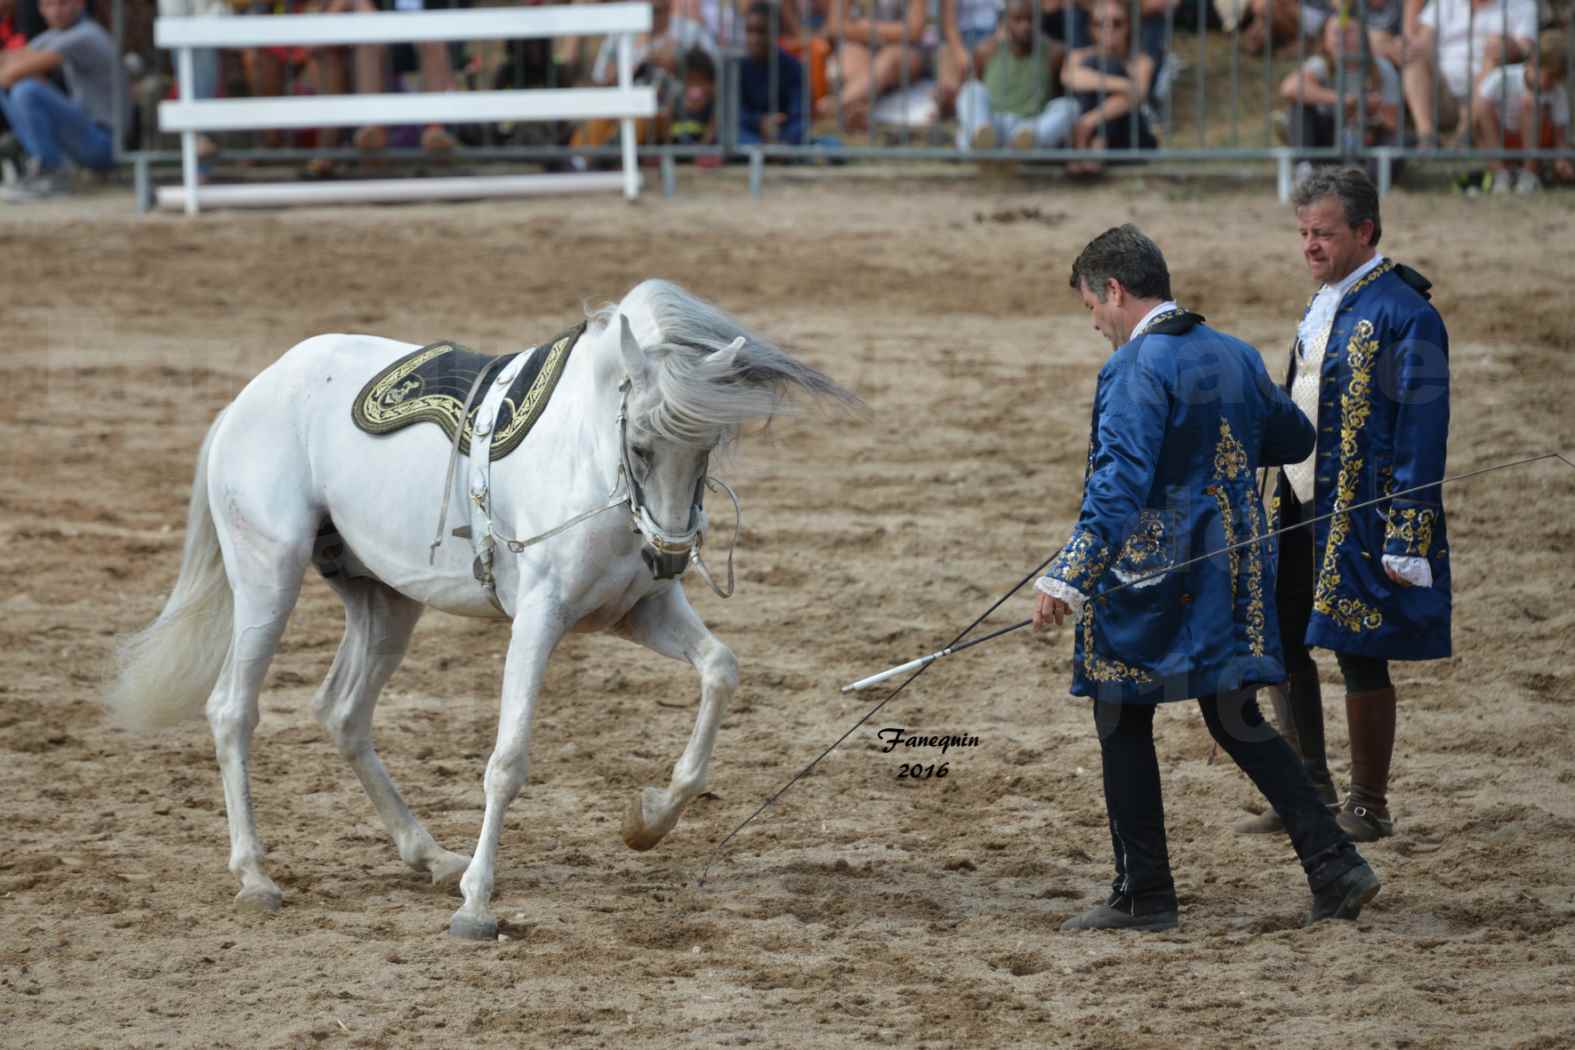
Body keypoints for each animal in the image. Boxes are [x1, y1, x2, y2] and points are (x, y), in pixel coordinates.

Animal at [109, 277, 856, 938]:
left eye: (707, 447)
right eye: (641, 445)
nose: (670, 555)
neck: (586, 454)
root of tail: (251, 395)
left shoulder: (637, 613)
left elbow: (720, 670)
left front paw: (648, 820)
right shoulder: (540, 619)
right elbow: (508, 759)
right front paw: (476, 904)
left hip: (384, 601)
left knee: (343, 712)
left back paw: (429, 854)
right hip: (269, 577)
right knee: (232, 710)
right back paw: (257, 876)